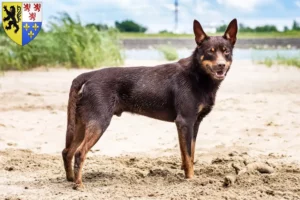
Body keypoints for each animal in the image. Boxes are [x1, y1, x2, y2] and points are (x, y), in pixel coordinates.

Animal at [62, 18, 238, 189]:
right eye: (210, 52)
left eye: (226, 52)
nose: (221, 65)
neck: (198, 75)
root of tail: (88, 75)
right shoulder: (185, 121)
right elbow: (188, 156)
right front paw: (190, 179)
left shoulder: (195, 123)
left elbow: (190, 153)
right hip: (99, 122)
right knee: (79, 152)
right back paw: (79, 184)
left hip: (81, 123)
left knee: (67, 151)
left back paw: (70, 179)